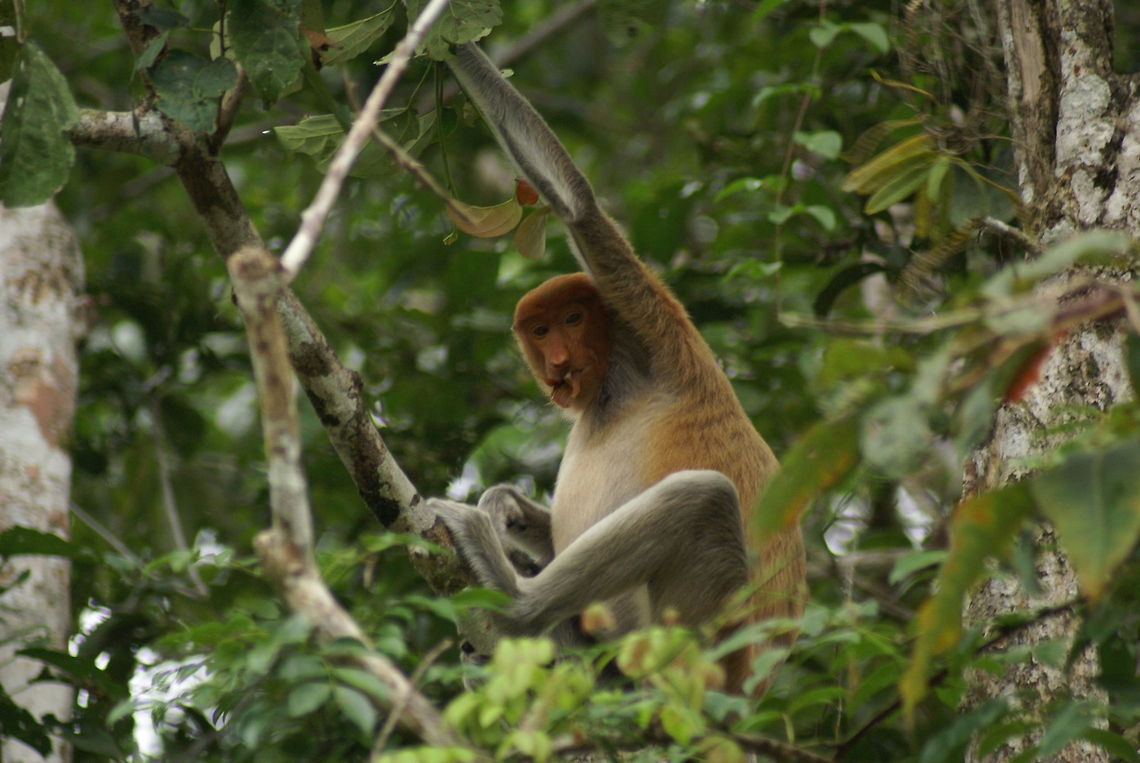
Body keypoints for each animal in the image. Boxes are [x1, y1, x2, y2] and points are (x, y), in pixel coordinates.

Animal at [430, 42, 806, 694]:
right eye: (540, 330)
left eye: (573, 318)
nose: (558, 363)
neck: (614, 385)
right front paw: (506, 507)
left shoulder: (659, 330)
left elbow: (579, 206)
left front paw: (438, 37)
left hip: (702, 644)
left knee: (703, 497)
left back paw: (515, 605)